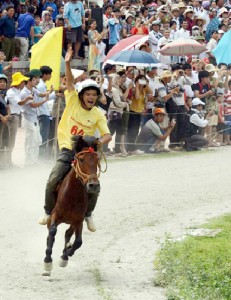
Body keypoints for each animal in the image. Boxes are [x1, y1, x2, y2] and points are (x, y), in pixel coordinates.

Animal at [43, 137, 104, 276]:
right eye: (81, 159)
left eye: (97, 159)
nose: (93, 185)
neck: (73, 195)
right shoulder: (55, 215)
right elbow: (52, 231)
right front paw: (48, 261)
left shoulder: (78, 221)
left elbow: (78, 241)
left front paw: (66, 255)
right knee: (51, 233)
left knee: (67, 234)